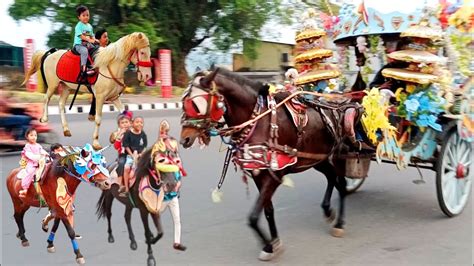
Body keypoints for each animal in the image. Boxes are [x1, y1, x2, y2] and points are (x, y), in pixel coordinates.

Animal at [22, 32, 152, 150]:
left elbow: (125, 115)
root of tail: (51, 53)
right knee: (46, 98)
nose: (147, 76)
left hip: (66, 86)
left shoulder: (114, 97)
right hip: (53, 84)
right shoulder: (100, 97)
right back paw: (44, 118)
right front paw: (96, 143)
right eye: (142, 52)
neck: (110, 66)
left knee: (61, 104)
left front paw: (115, 136)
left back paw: (66, 129)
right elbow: (98, 119)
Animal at [181, 68, 356, 260]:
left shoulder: (274, 176)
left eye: (195, 105)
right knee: (332, 178)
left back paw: (339, 223)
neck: (258, 121)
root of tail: (340, 104)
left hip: (338, 155)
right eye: (183, 104)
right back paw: (327, 210)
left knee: (342, 184)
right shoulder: (259, 175)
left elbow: (253, 217)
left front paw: (268, 246)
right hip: (317, 158)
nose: (184, 139)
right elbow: (267, 211)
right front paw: (274, 242)